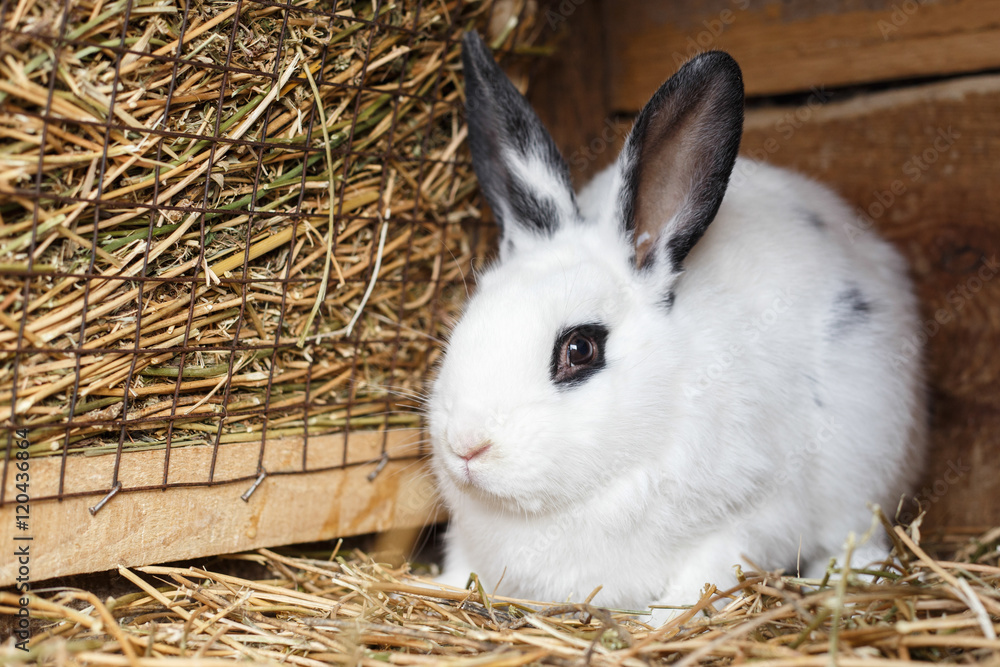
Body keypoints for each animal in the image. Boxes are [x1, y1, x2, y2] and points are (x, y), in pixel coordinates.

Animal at [427, 31, 926, 623]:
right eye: (469, 317)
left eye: (580, 349)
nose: (466, 446)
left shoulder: (753, 515)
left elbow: (706, 574)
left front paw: (659, 621)